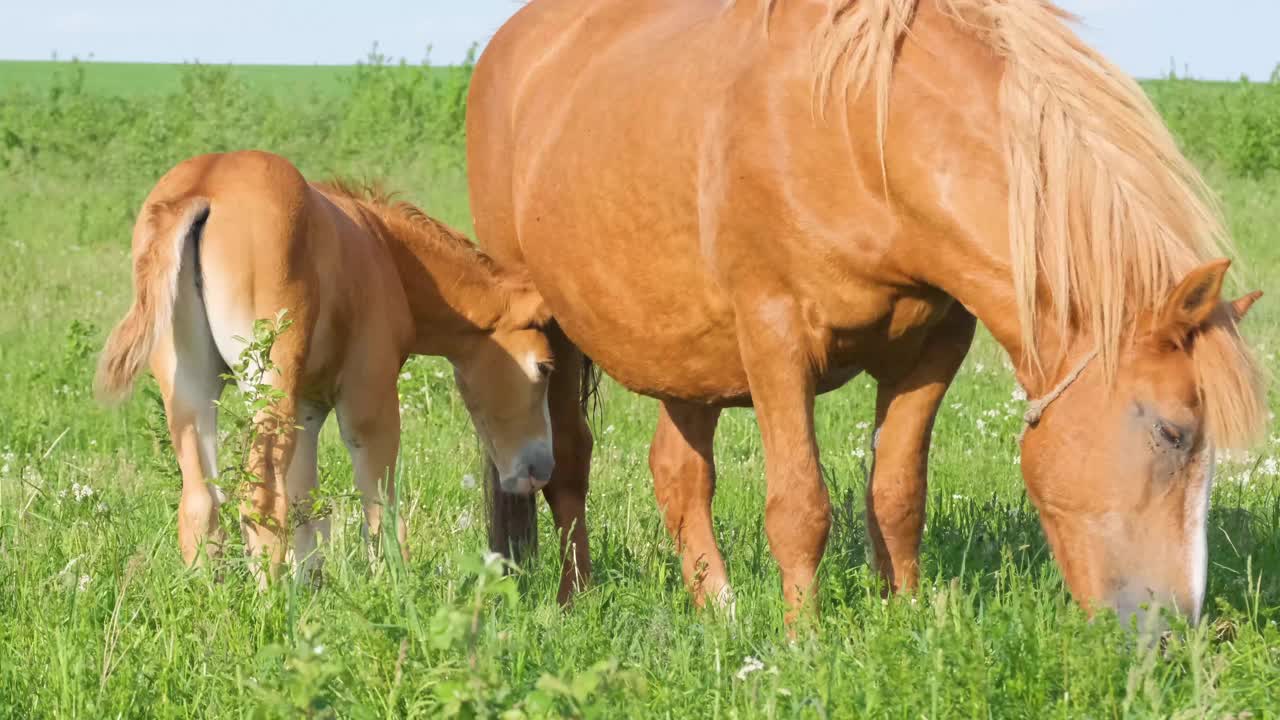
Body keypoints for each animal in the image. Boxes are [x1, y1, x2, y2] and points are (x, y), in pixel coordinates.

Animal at [465, 0, 1264, 620]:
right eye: (1171, 432)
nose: (1174, 628)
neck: (859, 137)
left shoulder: (933, 350)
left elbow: (898, 495)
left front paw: (905, 621)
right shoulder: (775, 339)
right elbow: (800, 506)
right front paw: (803, 643)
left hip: (685, 352)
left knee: (678, 474)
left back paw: (719, 612)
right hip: (550, 327)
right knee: (569, 463)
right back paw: (576, 600)